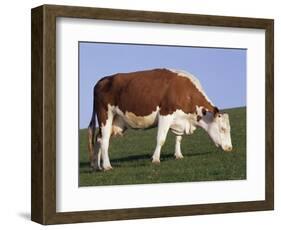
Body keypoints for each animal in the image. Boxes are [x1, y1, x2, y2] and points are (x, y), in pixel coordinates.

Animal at [87, 68, 232, 171]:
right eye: (222, 129)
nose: (230, 148)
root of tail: (103, 79)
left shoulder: (180, 120)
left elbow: (178, 138)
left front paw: (178, 155)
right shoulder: (165, 114)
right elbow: (161, 139)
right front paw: (156, 159)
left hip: (116, 121)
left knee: (99, 139)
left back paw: (96, 166)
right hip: (105, 115)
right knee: (104, 140)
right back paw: (107, 166)